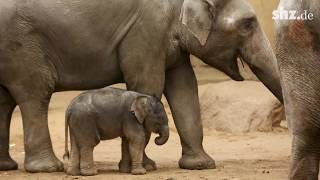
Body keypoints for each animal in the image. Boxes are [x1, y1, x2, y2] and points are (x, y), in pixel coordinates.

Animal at [0, 0, 282, 172]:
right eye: (248, 24)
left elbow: (184, 89)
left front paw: (200, 165)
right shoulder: (147, 29)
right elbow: (148, 83)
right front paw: (146, 167)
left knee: (4, 102)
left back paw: (7, 167)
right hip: (22, 46)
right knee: (35, 93)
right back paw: (47, 168)